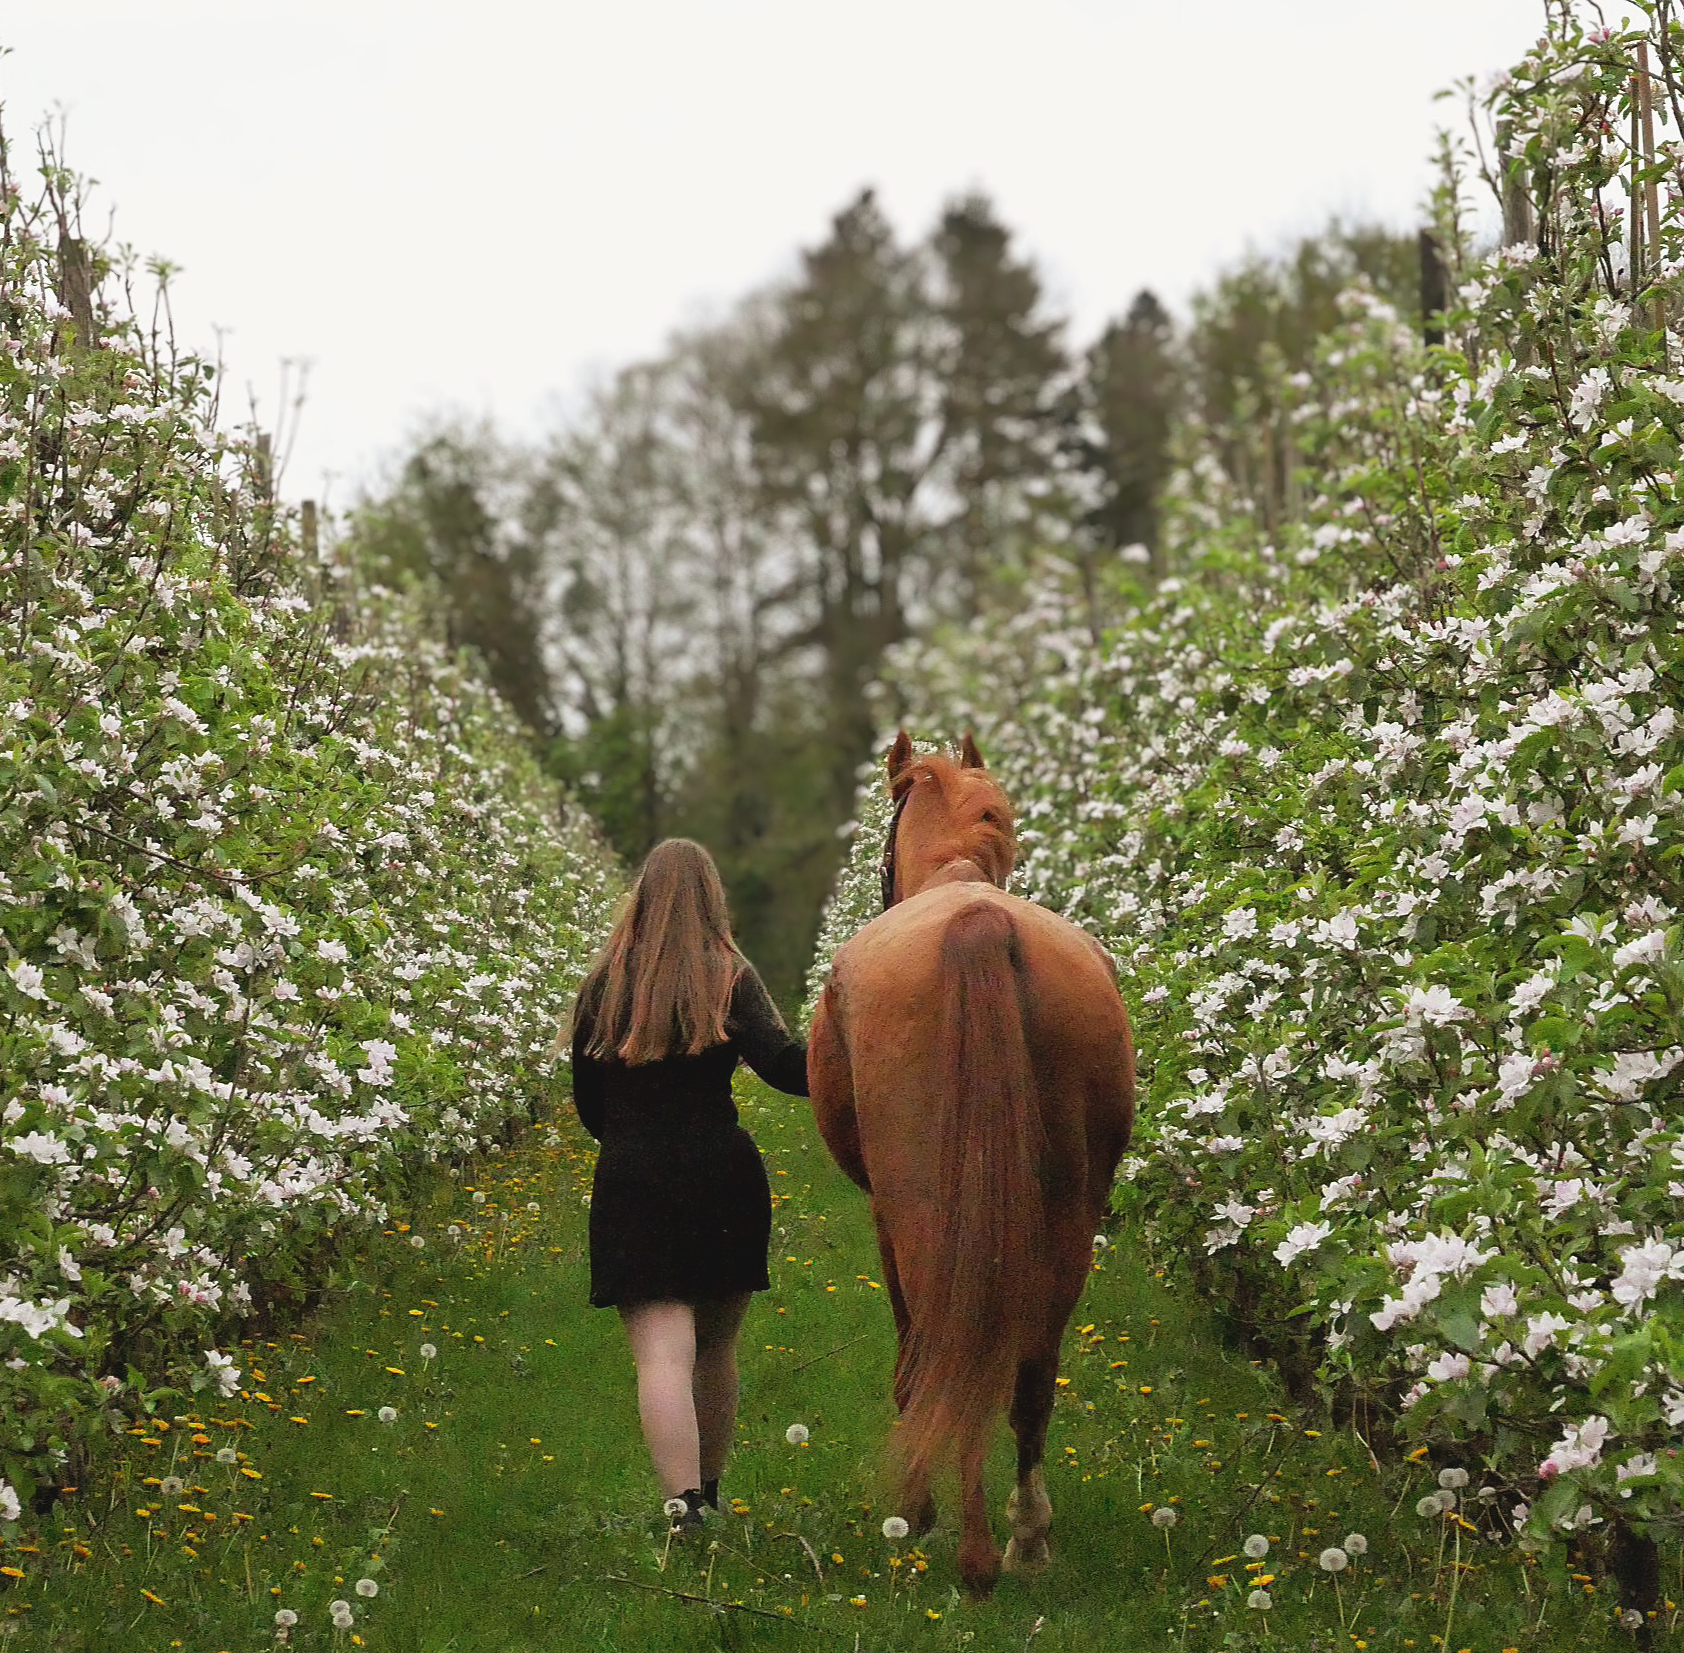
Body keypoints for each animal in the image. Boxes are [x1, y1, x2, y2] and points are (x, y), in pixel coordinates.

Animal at [808, 730, 1135, 1596]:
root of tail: (978, 921)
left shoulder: (882, 1215)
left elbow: (910, 1355)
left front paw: (916, 1514)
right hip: (1069, 1218)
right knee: (1028, 1374)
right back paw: (1026, 1537)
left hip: (924, 1210)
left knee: (951, 1352)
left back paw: (970, 1550)